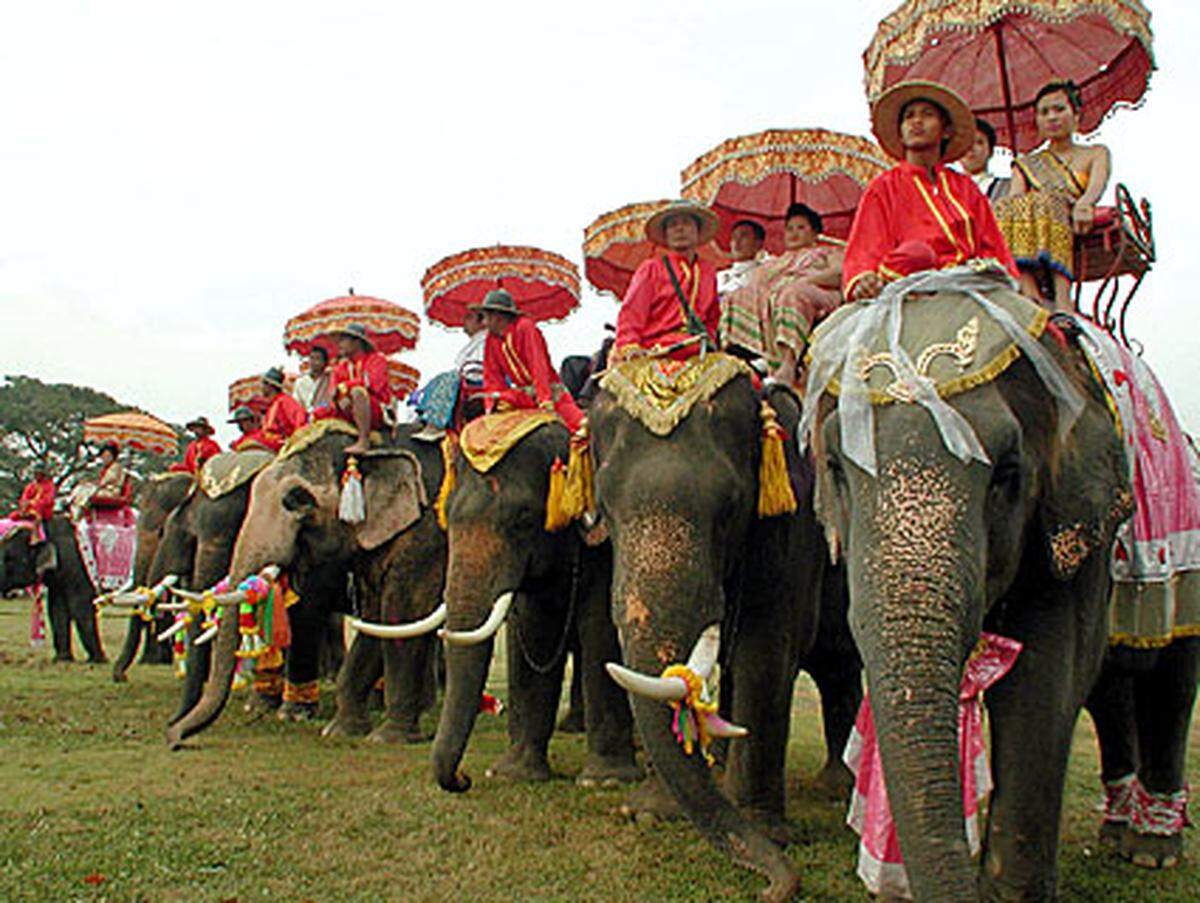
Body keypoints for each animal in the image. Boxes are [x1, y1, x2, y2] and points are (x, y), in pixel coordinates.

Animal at [0, 513, 106, 662]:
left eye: (9, 559)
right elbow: (57, 608)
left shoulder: (78, 566)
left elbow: (80, 606)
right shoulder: (58, 578)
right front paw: (62, 659)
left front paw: (98, 660)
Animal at [403, 415, 643, 787]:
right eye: (448, 518)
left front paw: (606, 780)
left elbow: (602, 632)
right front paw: (513, 774)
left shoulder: (607, 550)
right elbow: (535, 631)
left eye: (524, 521)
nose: (463, 777)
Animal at [588, 362, 830, 903]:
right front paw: (649, 813)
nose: (769, 890)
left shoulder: (790, 524)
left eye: (730, 508)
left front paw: (768, 832)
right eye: (605, 507)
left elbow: (767, 651)